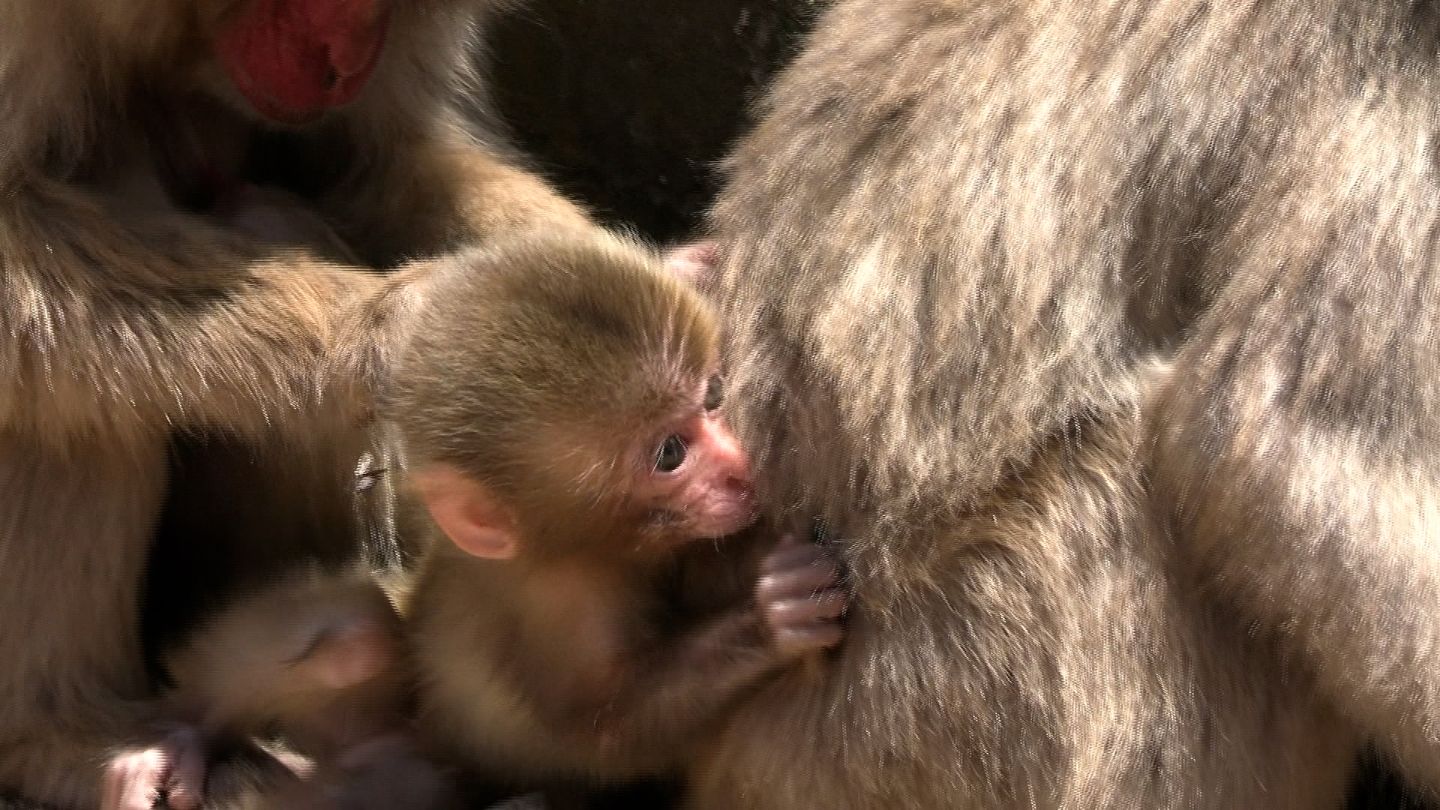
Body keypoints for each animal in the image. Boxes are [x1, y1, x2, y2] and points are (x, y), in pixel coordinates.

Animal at [0, 0, 592, 806]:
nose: (343, 62)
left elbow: (373, 162)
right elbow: (12, 231)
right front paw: (396, 334)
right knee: (63, 395)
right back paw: (63, 738)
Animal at [383, 229, 848, 798]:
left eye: (713, 396)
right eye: (670, 454)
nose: (741, 468)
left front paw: (692, 265)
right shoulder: (564, 605)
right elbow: (607, 733)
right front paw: (771, 618)